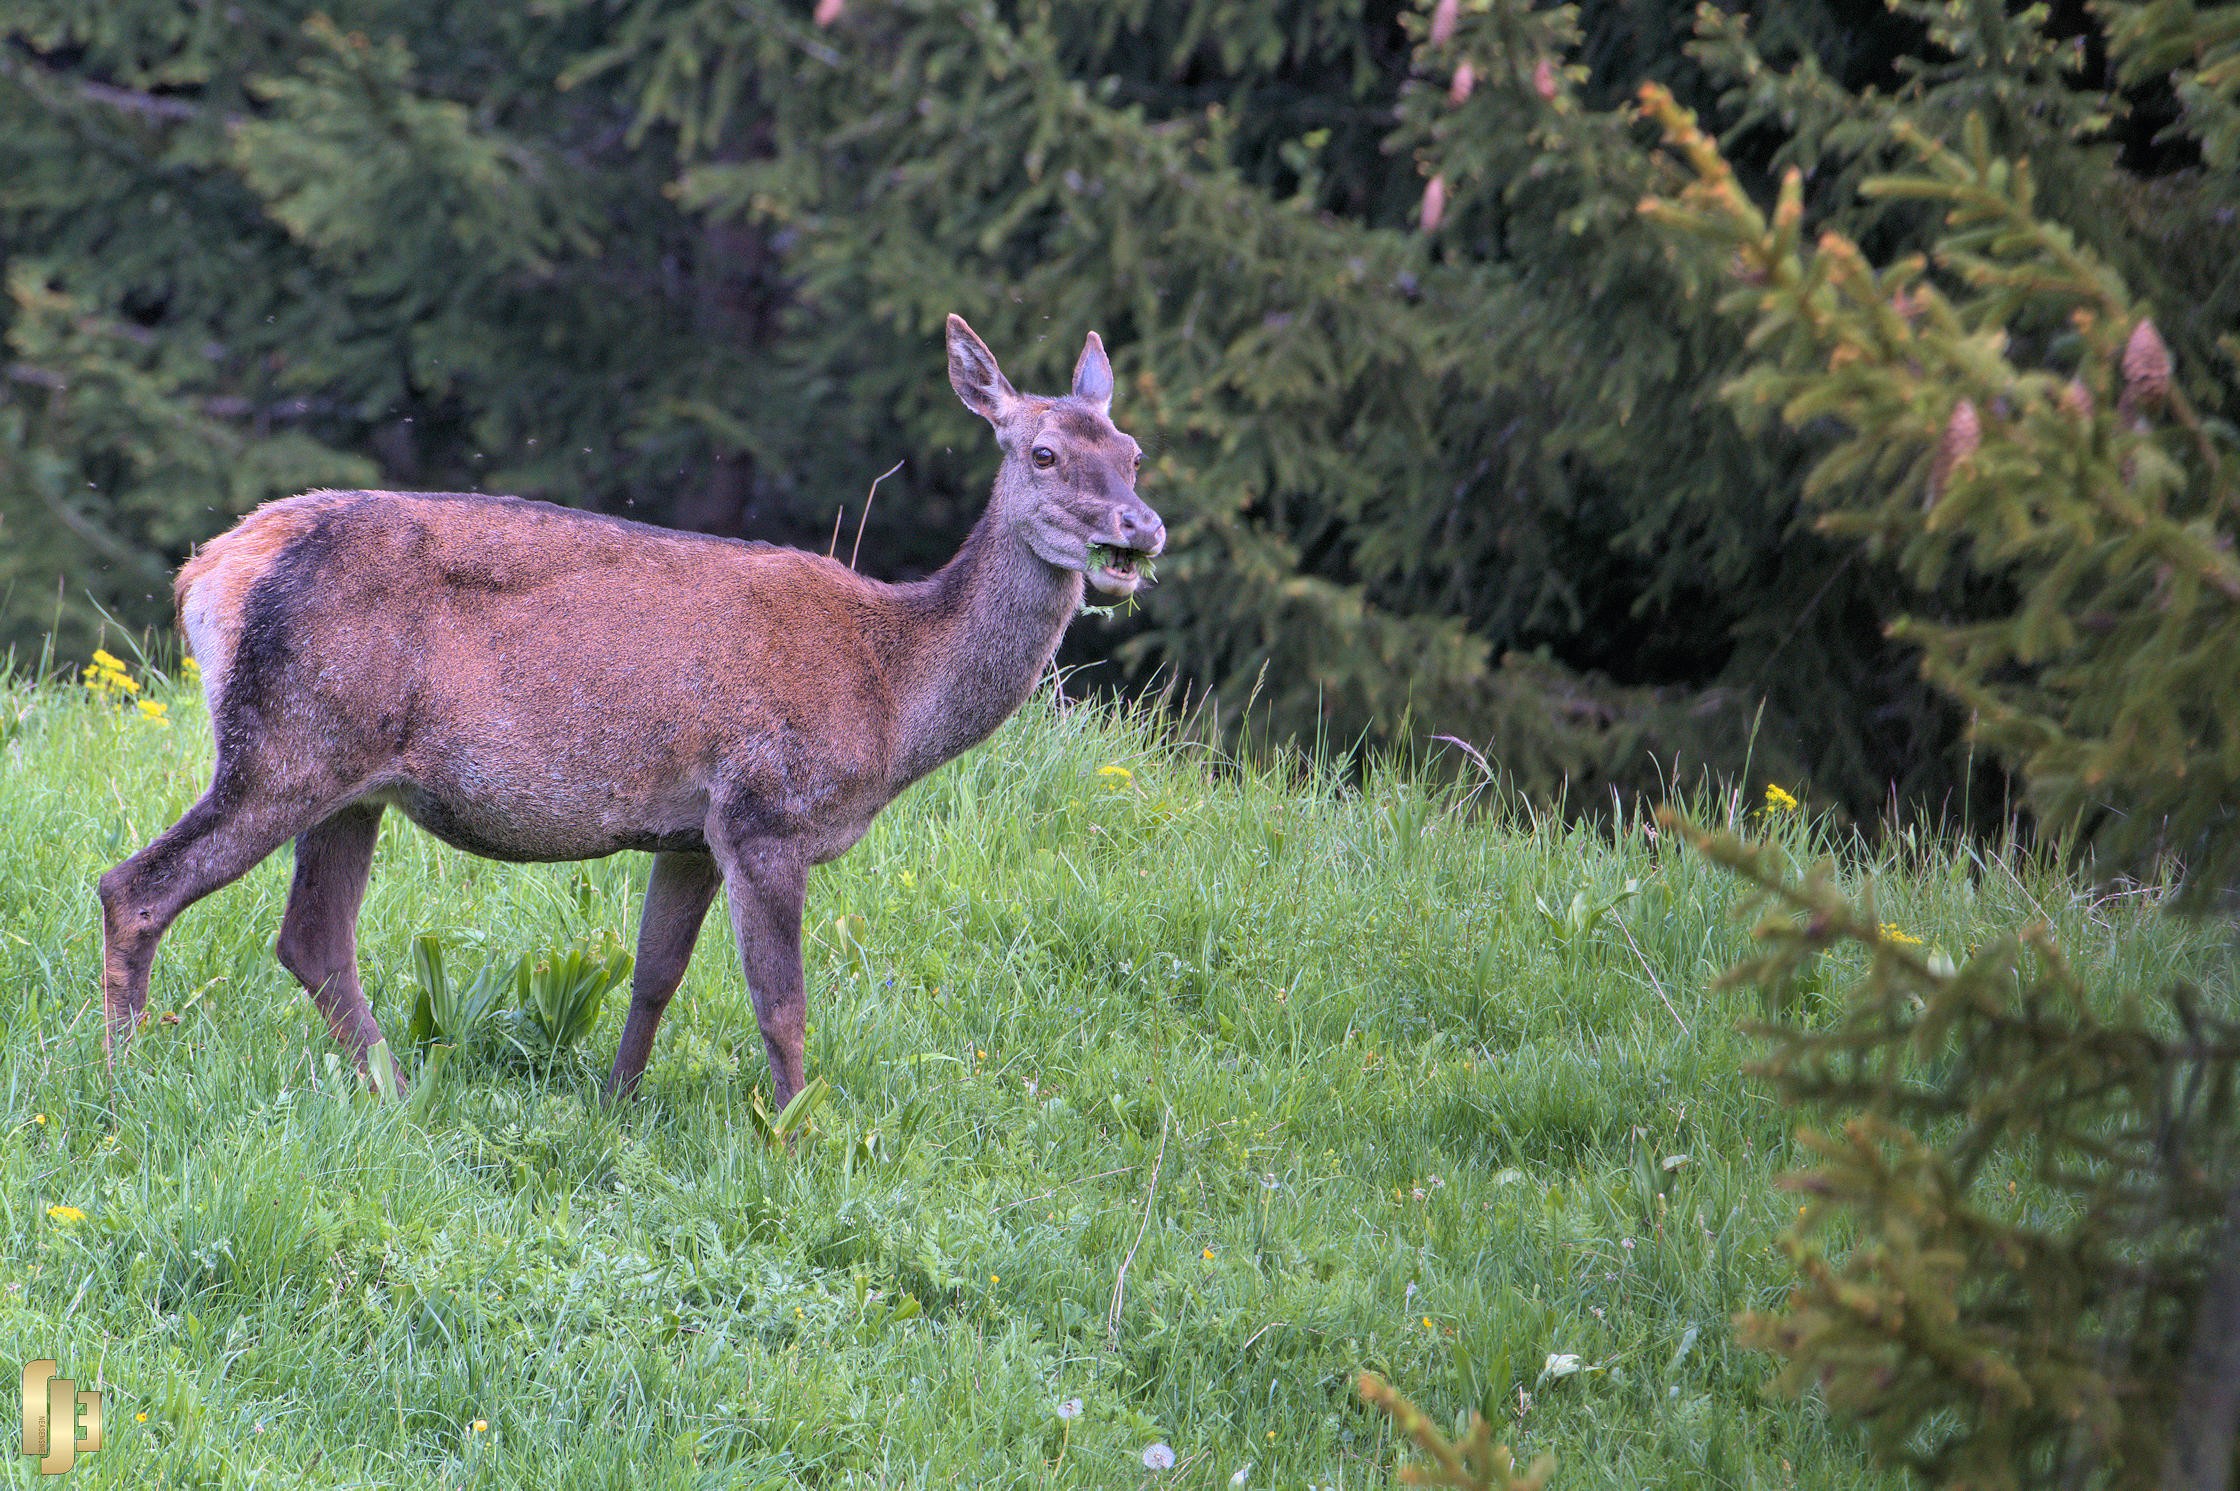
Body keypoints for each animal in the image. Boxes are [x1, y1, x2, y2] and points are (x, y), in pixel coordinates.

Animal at [96, 313, 1164, 1101]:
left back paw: (394, 1092)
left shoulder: (689, 832)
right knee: (135, 887)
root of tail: (210, 570)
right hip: (287, 742)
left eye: (1134, 451)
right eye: (1042, 453)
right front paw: (798, 1137)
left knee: (312, 938)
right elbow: (781, 1006)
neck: (893, 693)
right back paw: (121, 1076)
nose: (1140, 528)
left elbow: (655, 977)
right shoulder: (766, 808)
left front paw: (616, 1103)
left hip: (352, 779)